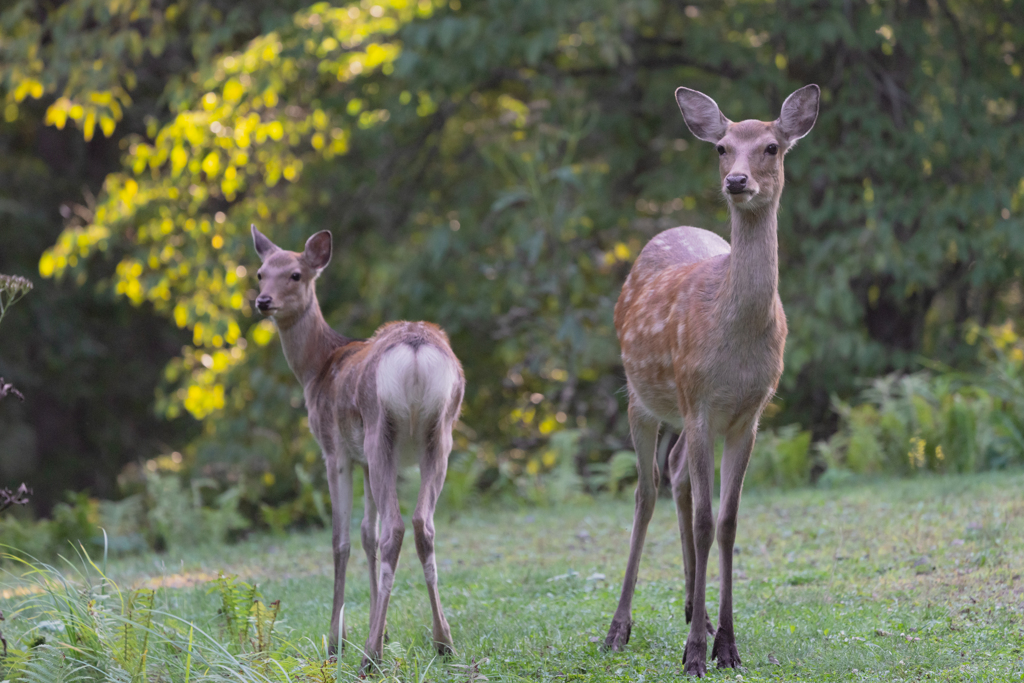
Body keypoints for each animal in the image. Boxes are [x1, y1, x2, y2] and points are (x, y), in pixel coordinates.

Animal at [251, 227, 464, 671]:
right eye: (260, 273)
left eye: (296, 274)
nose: (263, 301)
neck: (316, 369)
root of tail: (416, 351)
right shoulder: (365, 462)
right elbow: (367, 533)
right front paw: (381, 628)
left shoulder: (336, 451)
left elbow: (341, 540)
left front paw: (336, 640)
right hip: (439, 435)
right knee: (422, 523)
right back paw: (442, 642)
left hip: (379, 429)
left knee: (397, 527)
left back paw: (370, 655)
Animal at [602, 82, 819, 675]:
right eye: (721, 147)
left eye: (771, 147)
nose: (736, 181)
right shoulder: (699, 403)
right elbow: (702, 520)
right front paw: (697, 654)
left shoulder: (749, 414)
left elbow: (728, 521)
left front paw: (726, 644)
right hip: (643, 396)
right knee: (647, 491)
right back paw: (618, 628)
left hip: (680, 410)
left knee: (675, 474)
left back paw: (687, 607)